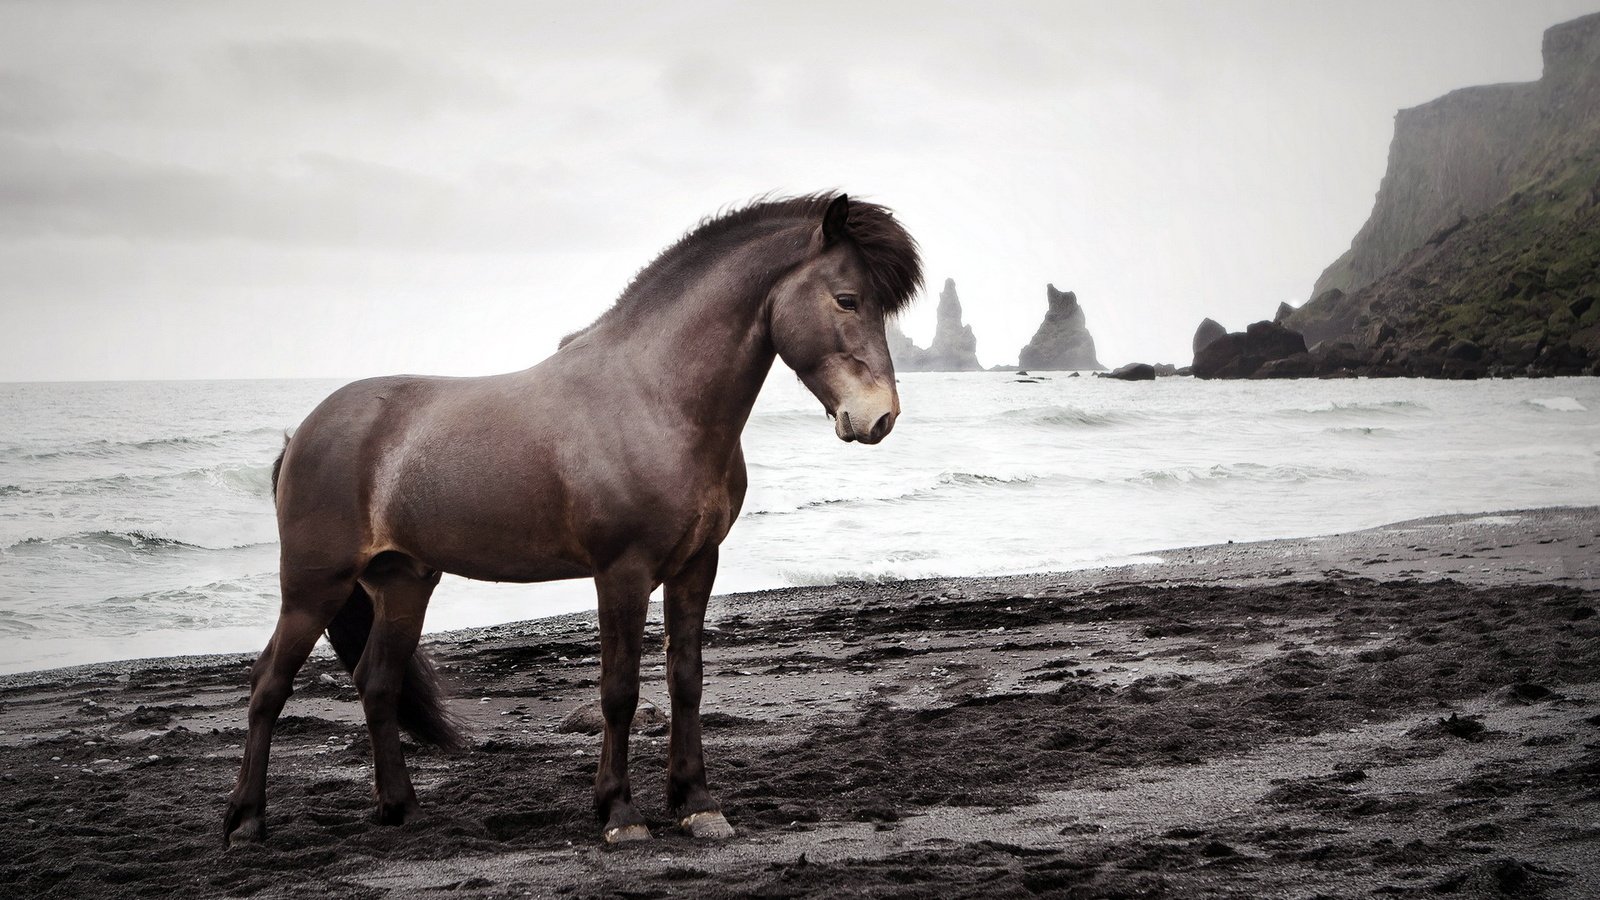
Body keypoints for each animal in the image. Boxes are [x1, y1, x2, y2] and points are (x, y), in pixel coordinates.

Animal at [227, 192, 928, 845]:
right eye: (846, 300)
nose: (879, 417)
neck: (654, 399)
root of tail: (305, 431)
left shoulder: (696, 566)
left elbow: (686, 680)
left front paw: (697, 804)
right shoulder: (622, 572)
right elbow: (619, 690)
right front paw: (620, 813)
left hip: (403, 583)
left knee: (377, 682)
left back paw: (402, 809)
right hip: (313, 587)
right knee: (268, 684)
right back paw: (245, 820)